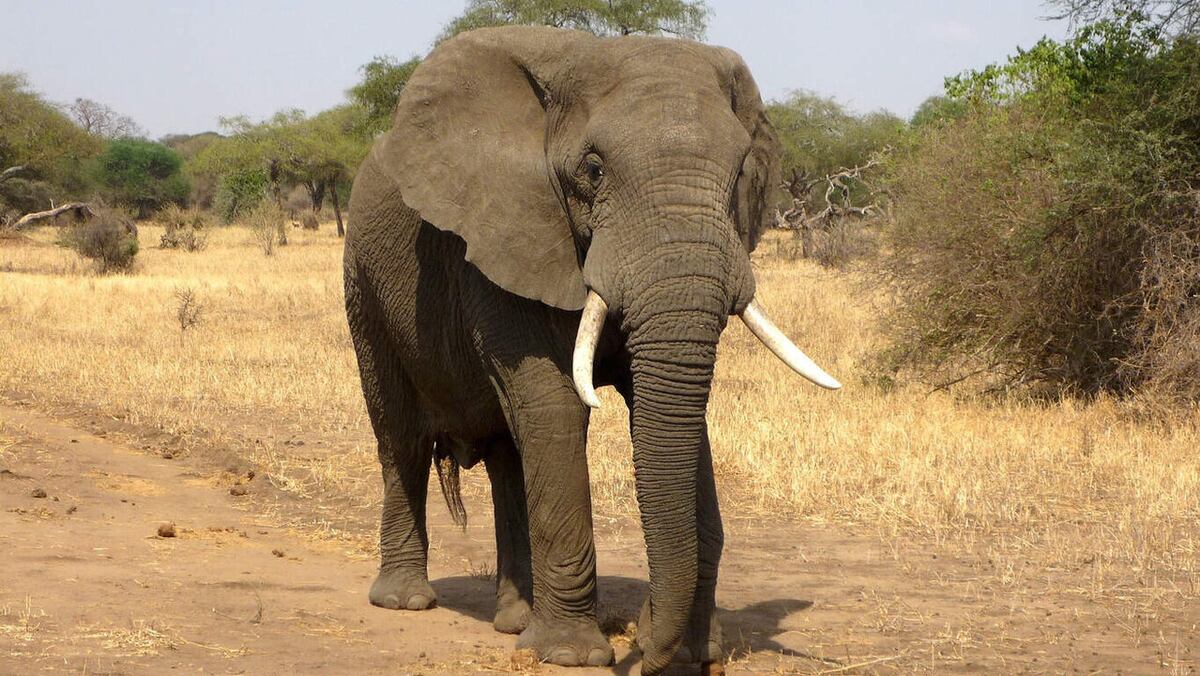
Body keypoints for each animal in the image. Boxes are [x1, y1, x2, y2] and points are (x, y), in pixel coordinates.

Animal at [343, 26, 840, 675]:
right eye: (595, 169)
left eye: (738, 174)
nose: (646, 647)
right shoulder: (507, 235)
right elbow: (556, 405)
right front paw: (571, 655)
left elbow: (673, 413)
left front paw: (693, 651)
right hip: (363, 282)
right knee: (400, 435)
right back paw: (406, 601)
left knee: (508, 453)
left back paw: (514, 620)